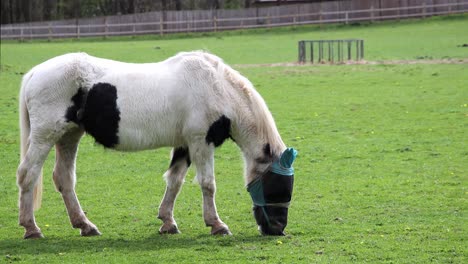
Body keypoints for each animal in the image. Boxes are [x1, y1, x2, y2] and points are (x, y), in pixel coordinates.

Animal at [18, 50, 298, 238]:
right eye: (279, 187)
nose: (277, 229)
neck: (216, 88)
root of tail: (34, 73)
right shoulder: (201, 142)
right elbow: (208, 184)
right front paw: (217, 224)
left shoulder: (185, 145)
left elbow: (174, 181)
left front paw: (167, 222)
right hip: (45, 136)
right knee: (28, 175)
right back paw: (31, 228)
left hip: (69, 136)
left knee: (64, 179)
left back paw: (85, 225)